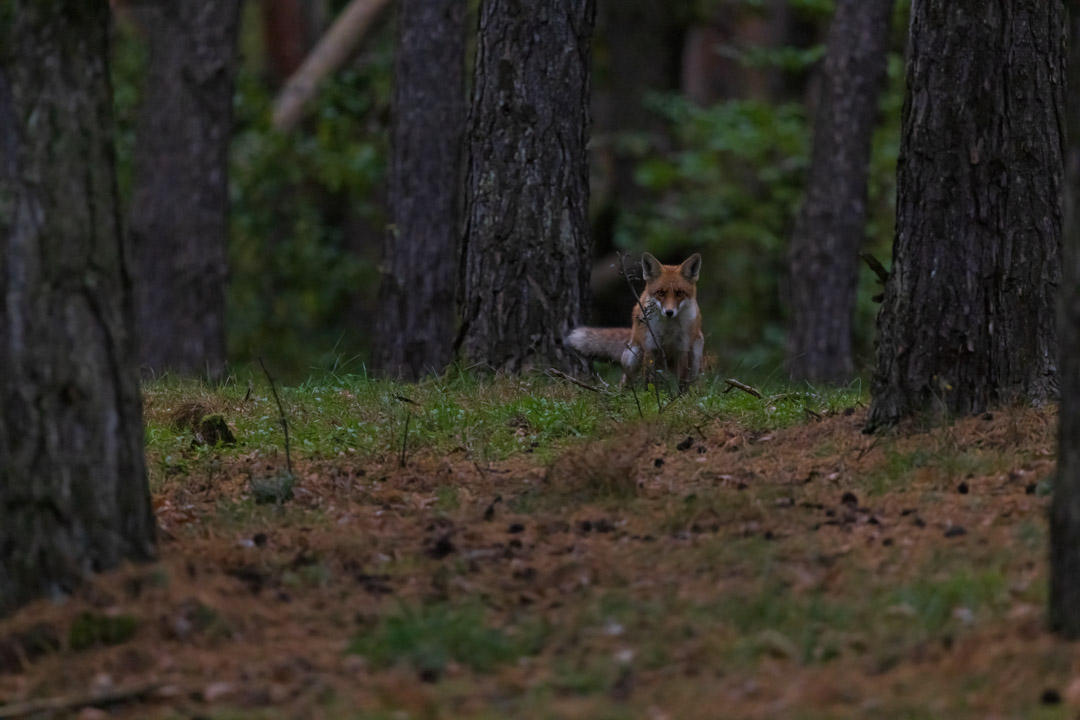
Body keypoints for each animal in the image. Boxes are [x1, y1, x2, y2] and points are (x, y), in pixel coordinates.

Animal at [567, 253, 704, 390]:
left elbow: (682, 383)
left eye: (679, 293)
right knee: (625, 381)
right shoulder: (650, 347)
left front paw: (681, 395)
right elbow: (648, 382)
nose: (669, 312)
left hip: (695, 356)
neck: (668, 328)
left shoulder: (682, 349)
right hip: (633, 357)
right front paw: (649, 395)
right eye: (661, 293)